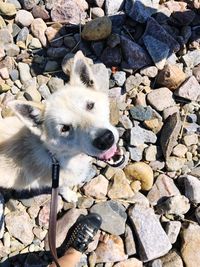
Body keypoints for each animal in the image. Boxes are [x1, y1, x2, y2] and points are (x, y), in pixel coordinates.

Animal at [0, 51, 123, 202]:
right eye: (65, 128)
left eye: (90, 105)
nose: (105, 139)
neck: (55, 155)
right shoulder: (59, 181)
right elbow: (63, 188)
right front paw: (70, 196)